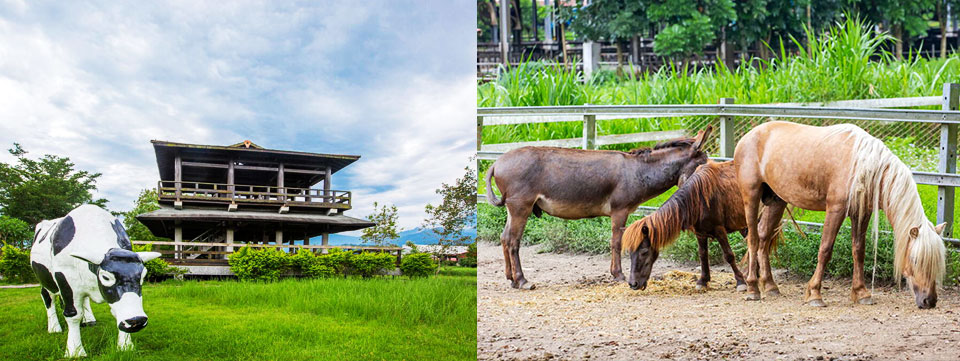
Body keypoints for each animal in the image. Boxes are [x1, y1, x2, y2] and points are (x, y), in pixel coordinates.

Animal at [488, 126, 712, 290]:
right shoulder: (619, 211)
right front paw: (618, 275)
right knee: (513, 241)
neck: (638, 171)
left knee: (504, 238)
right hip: (521, 207)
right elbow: (616, 242)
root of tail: (497, 162)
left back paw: (511, 279)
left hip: (513, 208)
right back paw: (523, 281)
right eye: (702, 163)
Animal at [624, 160, 780, 290]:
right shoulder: (700, 233)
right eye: (630, 253)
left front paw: (740, 281)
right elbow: (703, 255)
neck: (698, 199)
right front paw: (703, 281)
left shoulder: (719, 230)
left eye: (644, 252)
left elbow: (728, 255)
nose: (633, 284)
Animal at [736, 120, 944, 306]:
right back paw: (752, 288)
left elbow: (858, 250)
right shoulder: (835, 210)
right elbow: (825, 249)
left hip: (776, 201)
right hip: (751, 196)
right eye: (915, 260)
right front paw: (815, 294)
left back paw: (770, 286)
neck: (863, 166)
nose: (930, 301)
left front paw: (862, 293)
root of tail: (747, 137)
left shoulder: (861, 213)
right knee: (753, 238)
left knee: (763, 236)